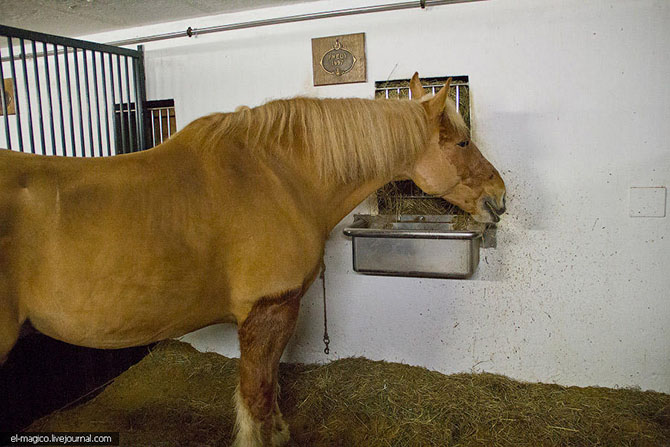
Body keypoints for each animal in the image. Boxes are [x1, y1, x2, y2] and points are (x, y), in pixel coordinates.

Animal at [0, 74, 504, 447]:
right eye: (462, 143)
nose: (500, 197)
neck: (278, 178)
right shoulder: (268, 311)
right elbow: (257, 398)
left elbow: (269, 393)